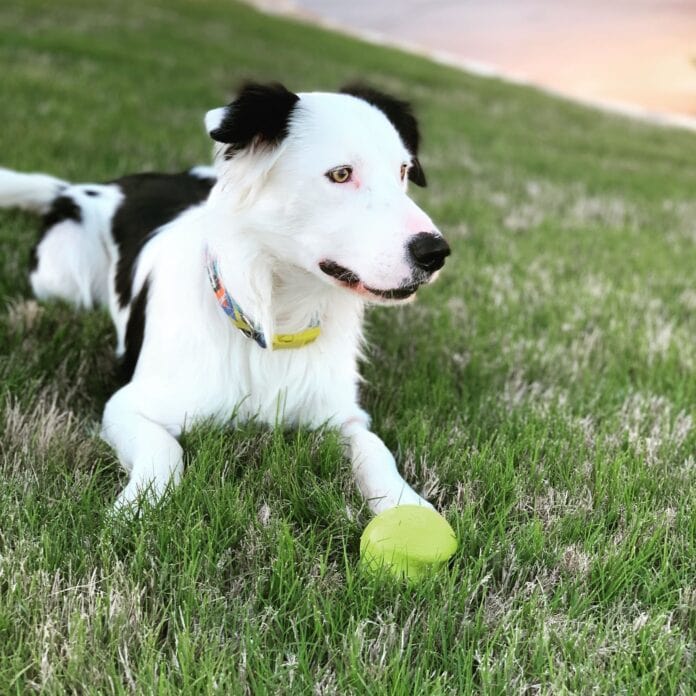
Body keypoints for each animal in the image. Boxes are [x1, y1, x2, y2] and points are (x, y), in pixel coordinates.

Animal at [0, 83, 452, 516]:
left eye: (403, 171)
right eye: (341, 174)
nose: (436, 252)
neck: (274, 320)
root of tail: (97, 187)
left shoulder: (342, 415)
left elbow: (374, 448)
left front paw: (406, 505)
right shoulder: (126, 406)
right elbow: (165, 450)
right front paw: (134, 508)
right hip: (62, 275)